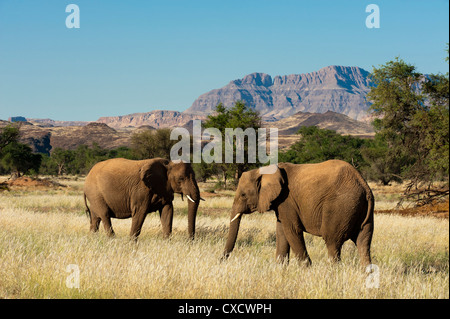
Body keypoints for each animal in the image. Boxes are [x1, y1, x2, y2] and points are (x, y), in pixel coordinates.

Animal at [223, 160, 374, 268]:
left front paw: (306, 270)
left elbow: (292, 230)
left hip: (340, 206)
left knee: (332, 243)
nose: (221, 260)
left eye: (243, 195)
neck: (265, 170)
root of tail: (364, 186)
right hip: (362, 212)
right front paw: (280, 269)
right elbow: (281, 232)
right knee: (363, 242)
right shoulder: (281, 203)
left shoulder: (287, 200)